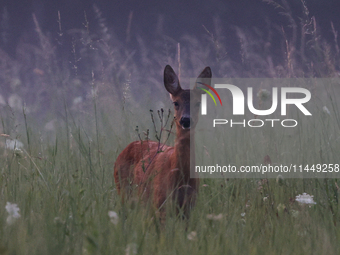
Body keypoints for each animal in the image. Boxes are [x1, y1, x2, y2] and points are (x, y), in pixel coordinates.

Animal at [113, 64, 211, 216]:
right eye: (176, 102)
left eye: (198, 103)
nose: (186, 120)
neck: (180, 176)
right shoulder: (159, 203)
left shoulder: (189, 207)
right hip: (124, 190)